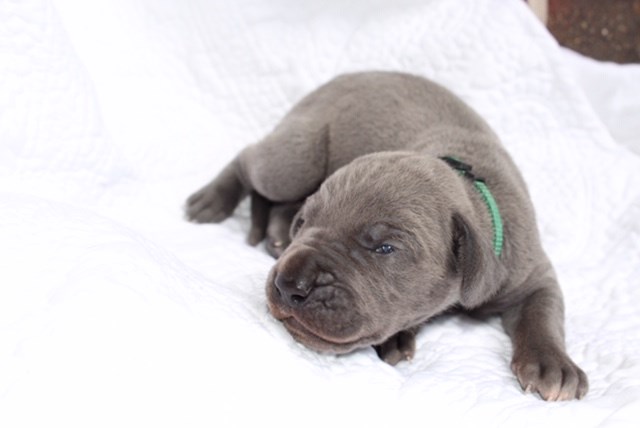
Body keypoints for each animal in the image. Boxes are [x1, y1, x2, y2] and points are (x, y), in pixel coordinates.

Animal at [184, 71, 584, 402]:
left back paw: (276, 232)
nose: (288, 284)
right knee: (250, 160)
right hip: (297, 157)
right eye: (306, 223)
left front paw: (551, 364)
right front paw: (398, 336)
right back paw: (213, 200)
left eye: (385, 248)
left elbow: (542, 312)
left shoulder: (532, 273)